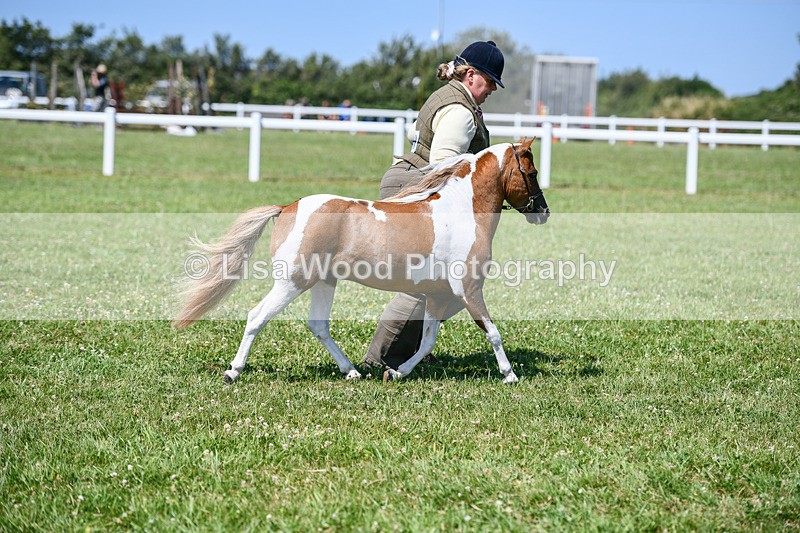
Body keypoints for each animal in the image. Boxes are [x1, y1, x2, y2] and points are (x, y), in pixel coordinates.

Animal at [174, 137, 550, 384]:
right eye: (531, 171)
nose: (543, 212)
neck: (461, 212)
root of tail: (287, 207)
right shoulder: (467, 290)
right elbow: (492, 331)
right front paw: (509, 375)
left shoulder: (437, 295)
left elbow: (428, 339)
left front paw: (397, 372)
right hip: (293, 282)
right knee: (257, 316)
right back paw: (233, 371)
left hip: (324, 281)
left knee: (318, 325)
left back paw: (352, 371)